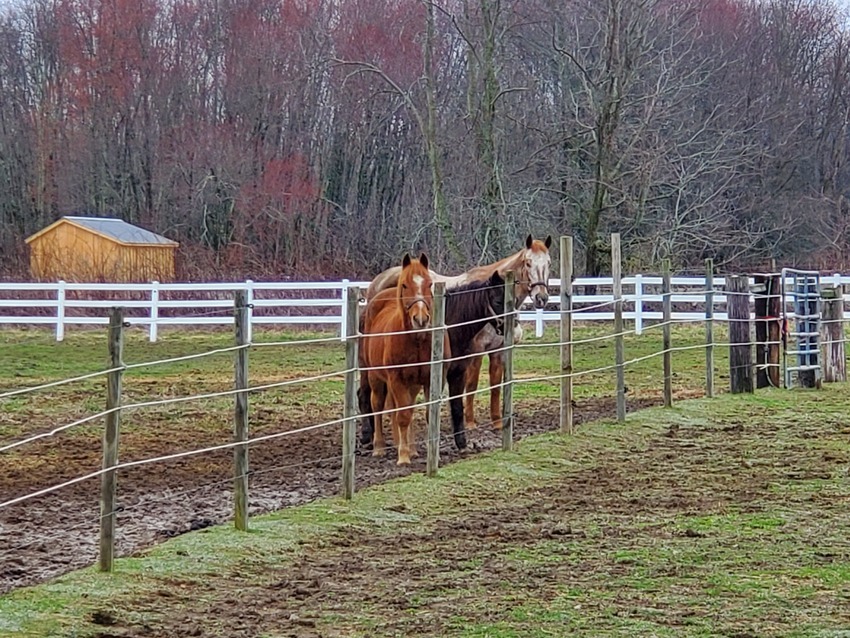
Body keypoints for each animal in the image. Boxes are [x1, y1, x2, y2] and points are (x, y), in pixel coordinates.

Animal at [358, 272, 504, 458]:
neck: (452, 325)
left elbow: (456, 406)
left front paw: (461, 443)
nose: (510, 325)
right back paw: (370, 439)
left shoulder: (458, 372)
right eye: (498, 301)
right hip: (368, 369)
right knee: (366, 397)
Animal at [360, 252, 450, 468]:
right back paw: (379, 447)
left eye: (429, 284)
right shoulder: (396, 379)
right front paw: (403, 456)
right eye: (405, 285)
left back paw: (413, 449)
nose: (421, 319)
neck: (416, 340)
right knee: (377, 406)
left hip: (412, 384)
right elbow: (402, 416)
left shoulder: (431, 379)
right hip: (375, 378)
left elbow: (427, 413)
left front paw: (432, 455)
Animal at [362, 238, 548, 432]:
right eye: (528, 263)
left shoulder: (498, 350)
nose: (541, 297)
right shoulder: (475, 352)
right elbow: (472, 385)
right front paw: (470, 422)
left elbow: (495, 386)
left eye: (548, 263)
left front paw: (496, 422)